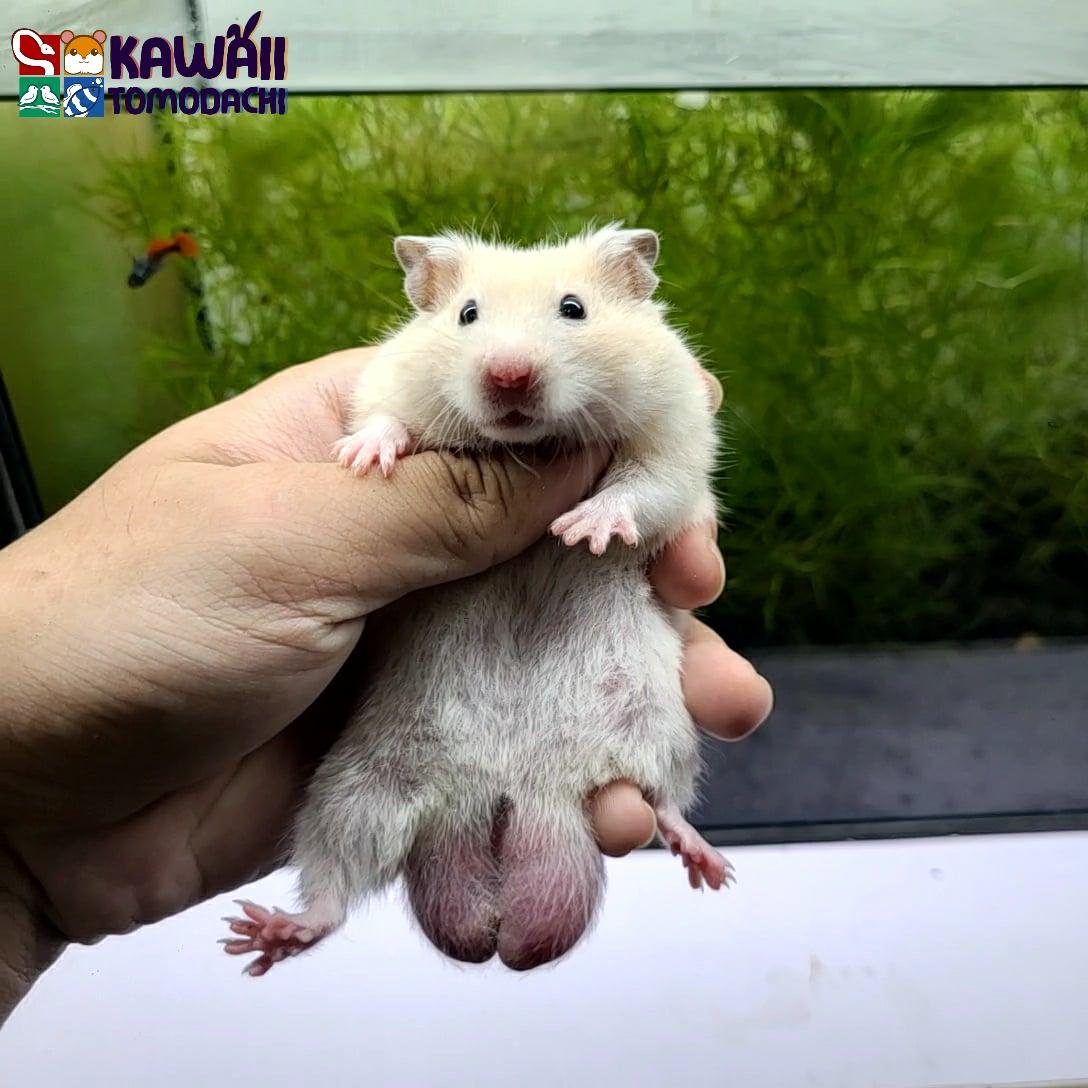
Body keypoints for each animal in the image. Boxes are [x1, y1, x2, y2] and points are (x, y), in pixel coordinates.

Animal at [222, 225, 730, 976]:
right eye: (467, 315)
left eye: (574, 309)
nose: (509, 377)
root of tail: (508, 792)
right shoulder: (387, 383)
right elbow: (385, 419)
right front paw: (364, 457)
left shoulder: (675, 435)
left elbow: (643, 489)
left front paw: (581, 530)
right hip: (356, 789)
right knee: (333, 885)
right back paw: (268, 934)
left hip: (660, 731)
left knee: (663, 804)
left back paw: (709, 864)